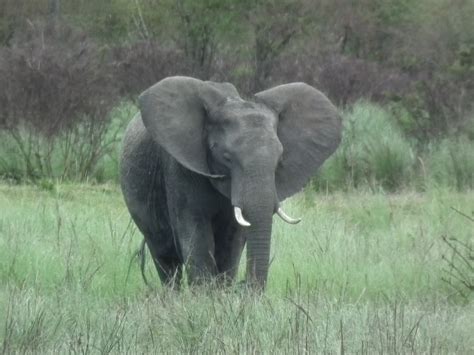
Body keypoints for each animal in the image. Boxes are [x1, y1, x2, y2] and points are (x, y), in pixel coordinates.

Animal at [118, 76, 340, 290]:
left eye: (279, 160)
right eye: (226, 158)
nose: (245, 287)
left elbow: (233, 237)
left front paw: (221, 293)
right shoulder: (178, 167)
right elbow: (195, 230)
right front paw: (204, 296)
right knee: (165, 256)